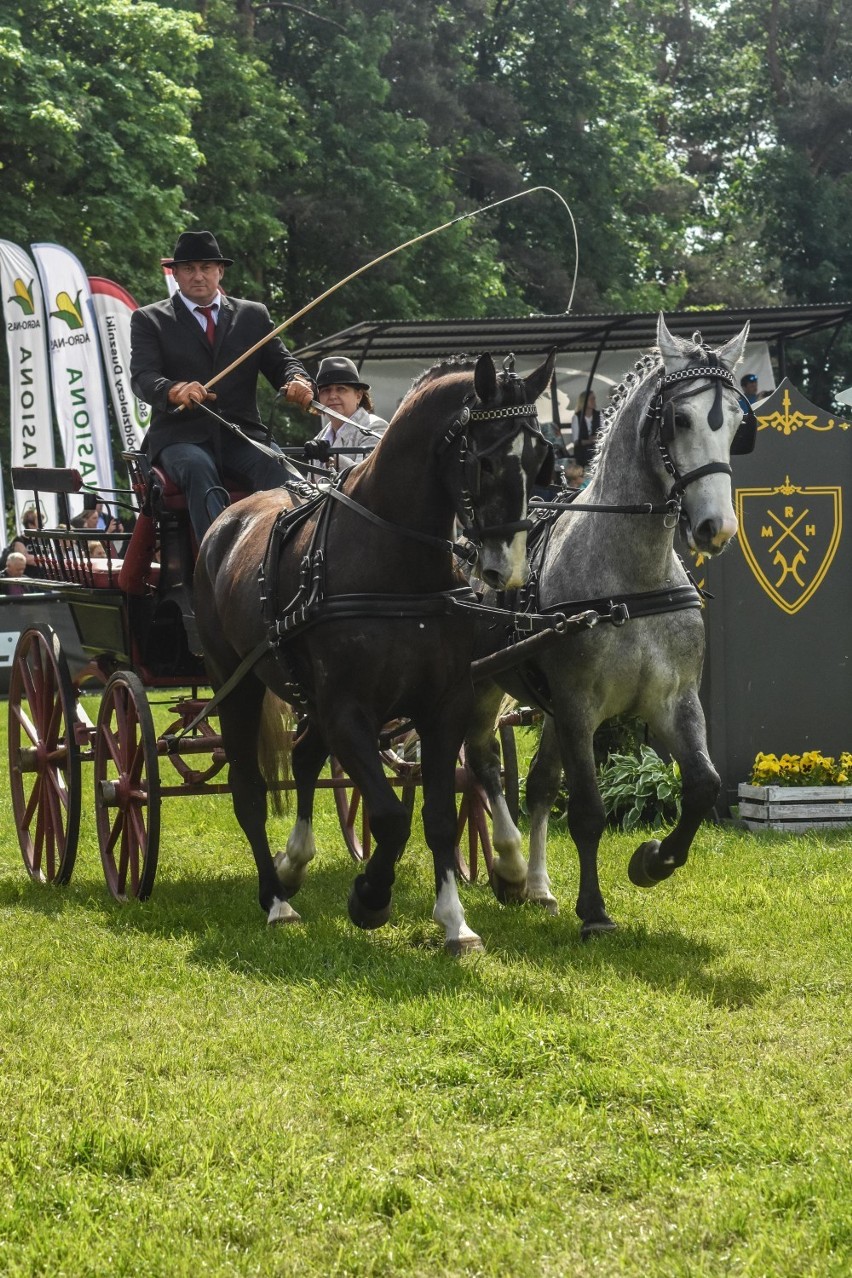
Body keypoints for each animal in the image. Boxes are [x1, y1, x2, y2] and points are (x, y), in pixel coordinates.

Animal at [195, 350, 556, 950]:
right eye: (484, 461)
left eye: (542, 459)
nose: (506, 571)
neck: (395, 560)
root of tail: (227, 519)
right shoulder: (348, 710)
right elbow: (389, 816)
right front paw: (370, 897)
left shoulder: (444, 706)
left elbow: (438, 814)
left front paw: (455, 922)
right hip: (236, 683)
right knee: (249, 791)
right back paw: (276, 899)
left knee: (304, 757)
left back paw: (293, 865)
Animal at [467, 316, 751, 940]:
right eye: (680, 420)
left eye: (738, 424)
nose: (716, 527)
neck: (632, 583)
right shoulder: (579, 708)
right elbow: (589, 813)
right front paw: (594, 911)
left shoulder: (674, 701)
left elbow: (703, 785)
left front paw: (653, 860)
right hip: (476, 686)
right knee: (481, 768)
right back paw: (501, 864)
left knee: (537, 786)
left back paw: (537, 885)